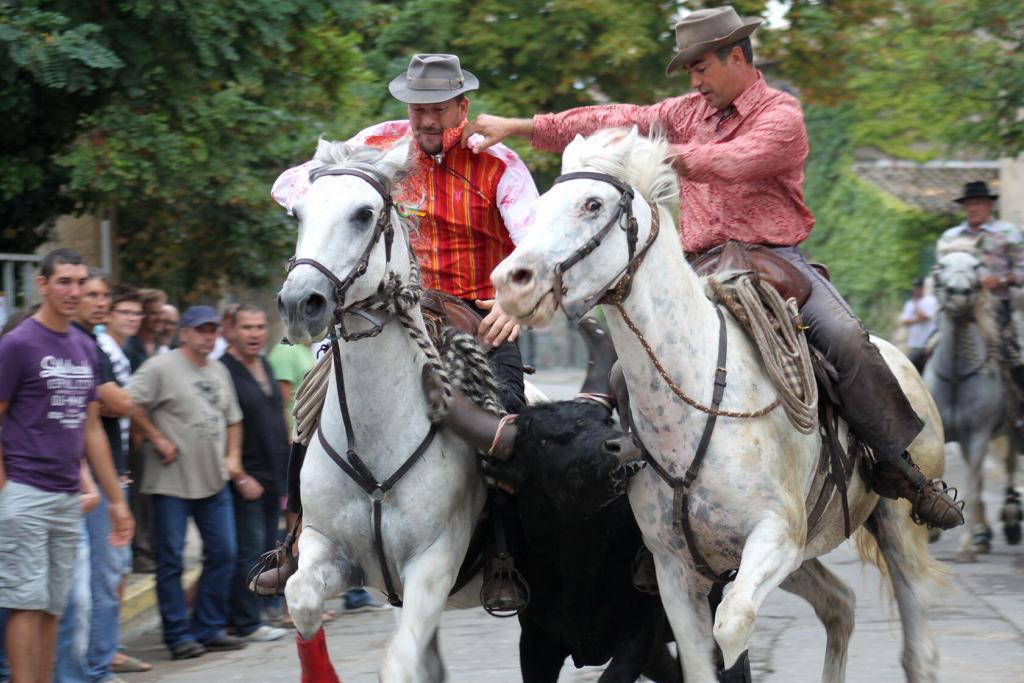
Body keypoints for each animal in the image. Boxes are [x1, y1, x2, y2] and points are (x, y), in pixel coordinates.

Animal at [274, 140, 485, 683]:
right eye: (297, 213)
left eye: (363, 214)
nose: (299, 303)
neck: (373, 442)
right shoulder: (328, 547)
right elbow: (300, 597)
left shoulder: (433, 567)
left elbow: (400, 663)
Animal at [491, 129, 946, 683]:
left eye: (592, 204)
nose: (512, 281)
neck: (697, 403)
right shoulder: (675, 572)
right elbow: (697, 657)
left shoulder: (775, 536)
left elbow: (731, 627)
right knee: (839, 604)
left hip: (897, 527)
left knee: (917, 643)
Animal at [925, 250, 1019, 561]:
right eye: (941, 266)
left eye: (977, 266)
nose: (958, 292)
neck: (956, 375)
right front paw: (933, 530)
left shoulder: (978, 436)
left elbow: (973, 485)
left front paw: (966, 546)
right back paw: (983, 534)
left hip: (1009, 431)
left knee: (1008, 467)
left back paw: (1007, 523)